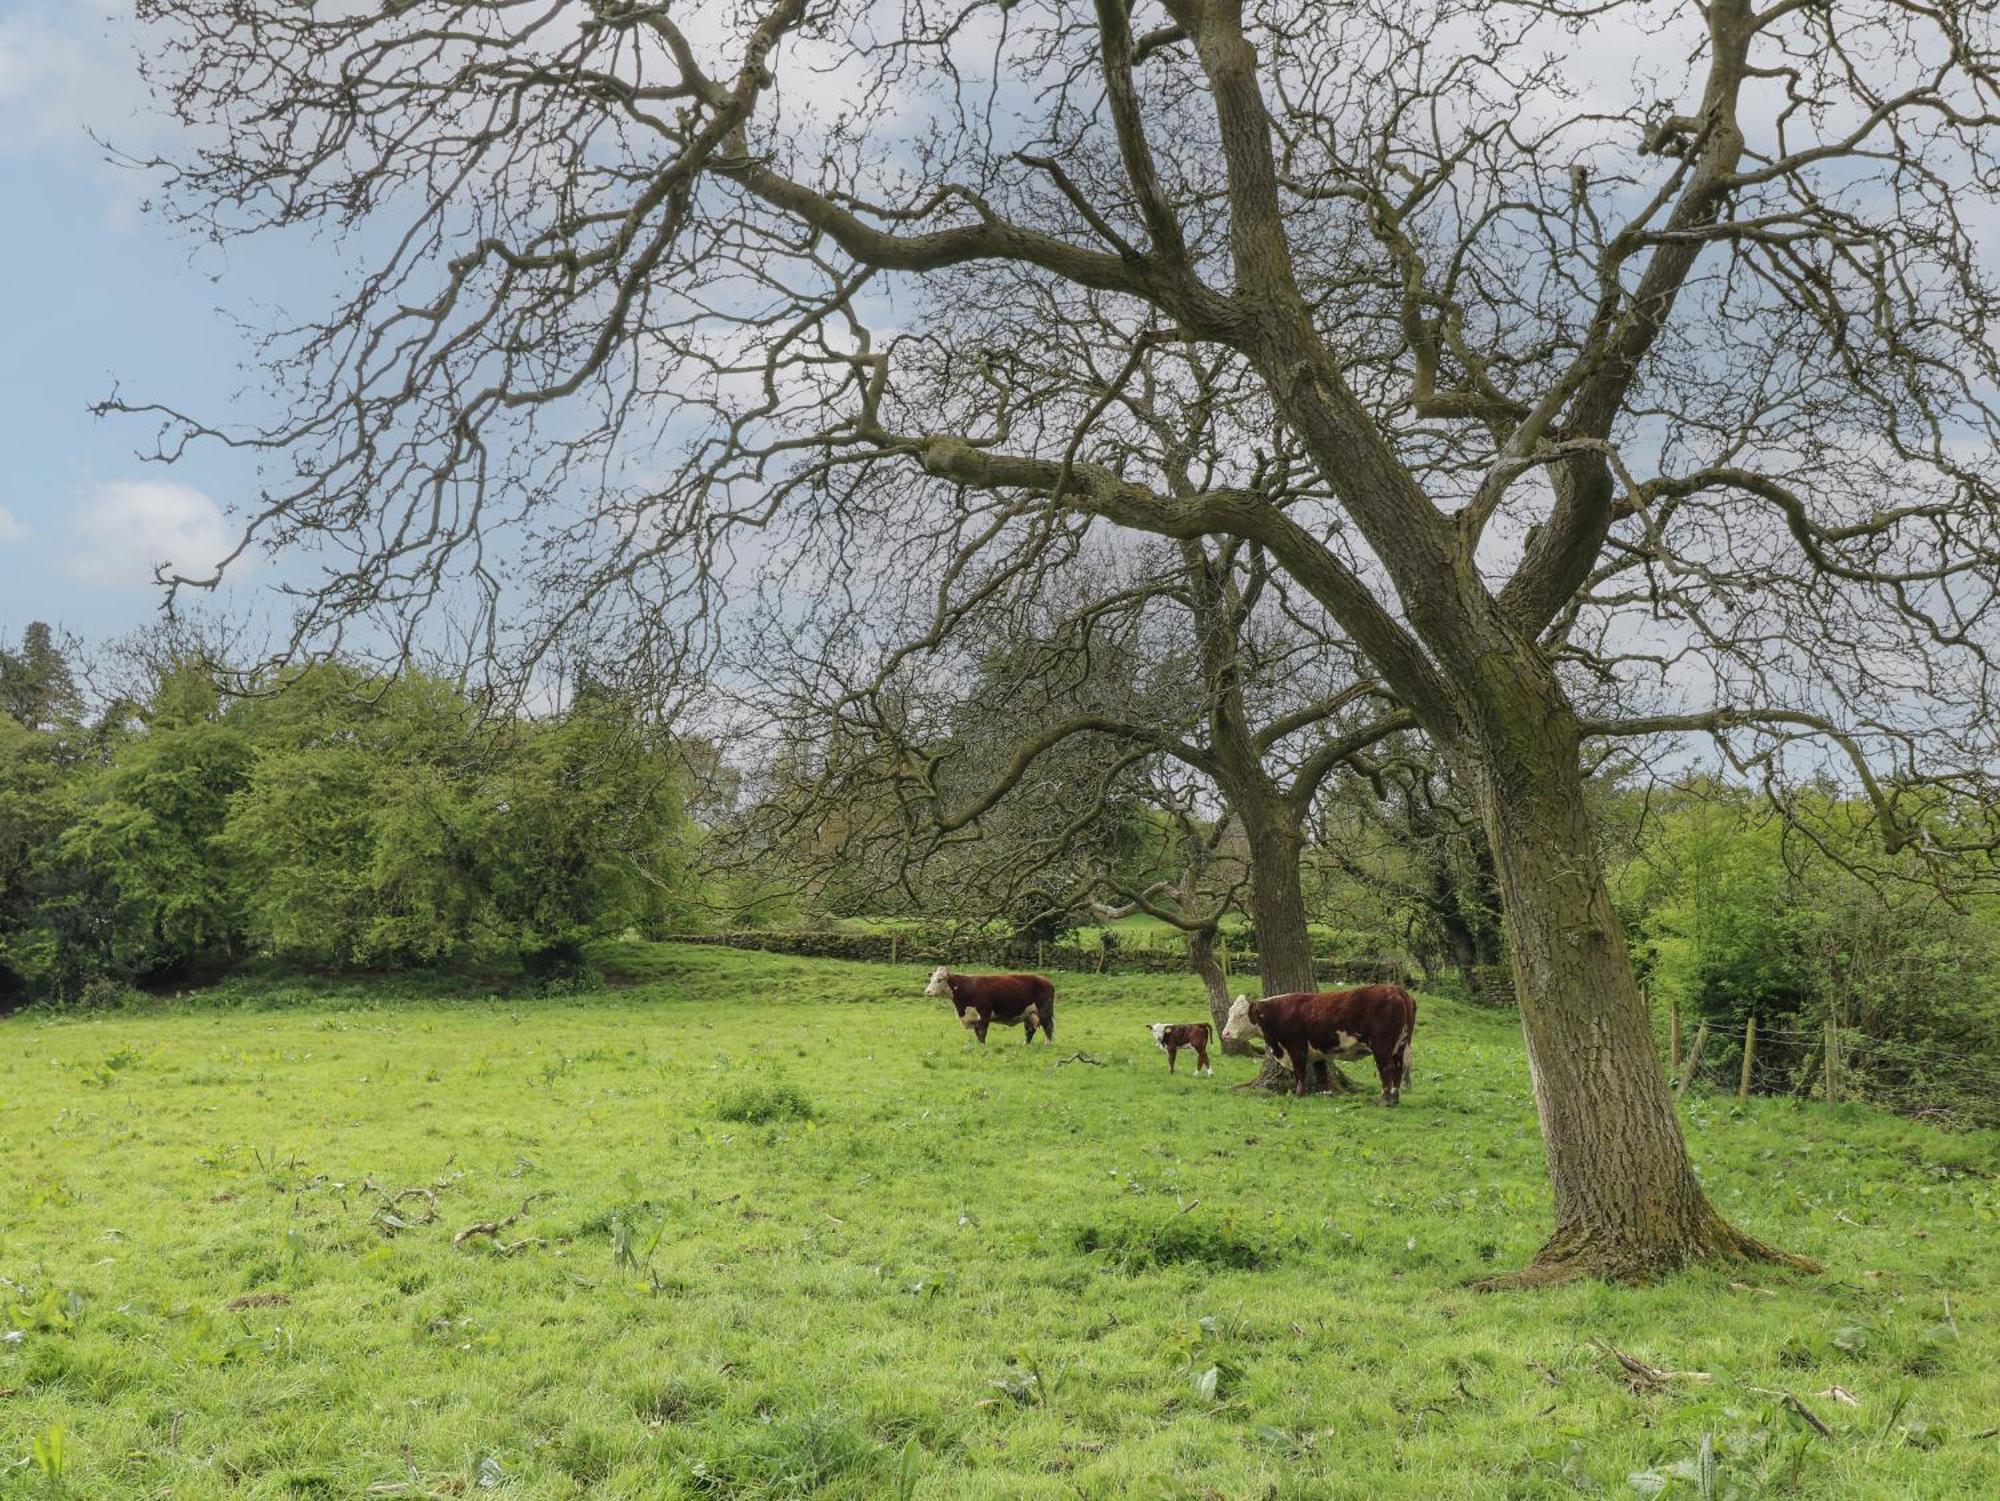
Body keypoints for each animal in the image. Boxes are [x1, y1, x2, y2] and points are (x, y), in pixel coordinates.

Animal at [1208, 988, 1416, 1104]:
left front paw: (1298, 1095)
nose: (1225, 1034)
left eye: (1240, 1015)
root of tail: (1397, 990)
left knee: (1387, 1069)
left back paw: (1385, 1099)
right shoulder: (1318, 1052)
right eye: (1230, 1013)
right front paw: (1325, 1094)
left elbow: (1300, 1073)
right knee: (1398, 1069)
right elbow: (1321, 1074)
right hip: (1399, 1046)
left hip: (1382, 1046)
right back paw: (1395, 1098)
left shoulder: (1296, 1047)